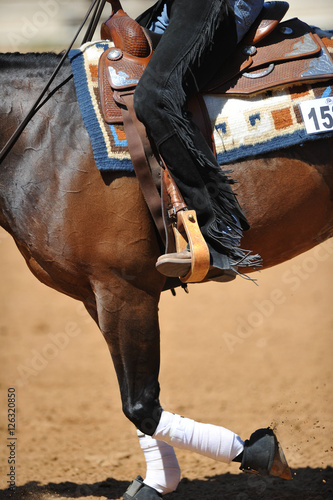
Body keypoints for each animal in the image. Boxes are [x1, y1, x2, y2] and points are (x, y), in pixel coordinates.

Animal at [0, 45, 332, 494]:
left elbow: (140, 404)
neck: (44, 136)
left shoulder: (125, 289)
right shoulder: (97, 296)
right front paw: (159, 481)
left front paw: (258, 451)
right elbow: (137, 400)